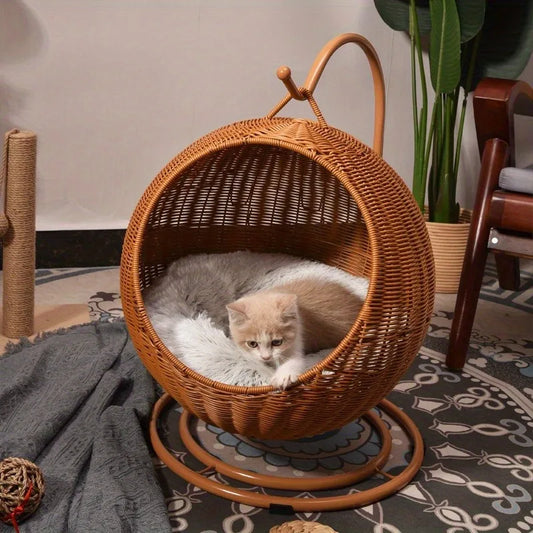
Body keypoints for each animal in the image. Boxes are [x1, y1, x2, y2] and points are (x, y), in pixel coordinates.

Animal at [227, 280, 364, 388]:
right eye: (252, 344)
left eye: (277, 342)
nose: (266, 357)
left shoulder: (298, 336)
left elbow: (294, 359)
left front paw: (284, 376)